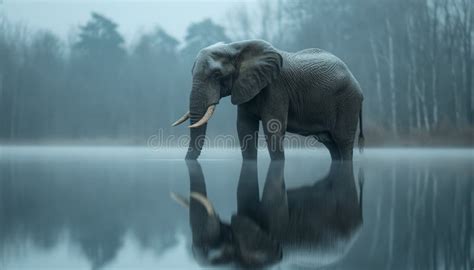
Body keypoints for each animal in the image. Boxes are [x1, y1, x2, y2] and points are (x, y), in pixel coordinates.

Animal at [172, 39, 364, 159]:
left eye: (217, 74)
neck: (235, 47)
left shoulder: (276, 88)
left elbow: (273, 129)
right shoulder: (245, 88)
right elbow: (244, 129)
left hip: (348, 101)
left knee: (343, 141)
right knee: (331, 144)